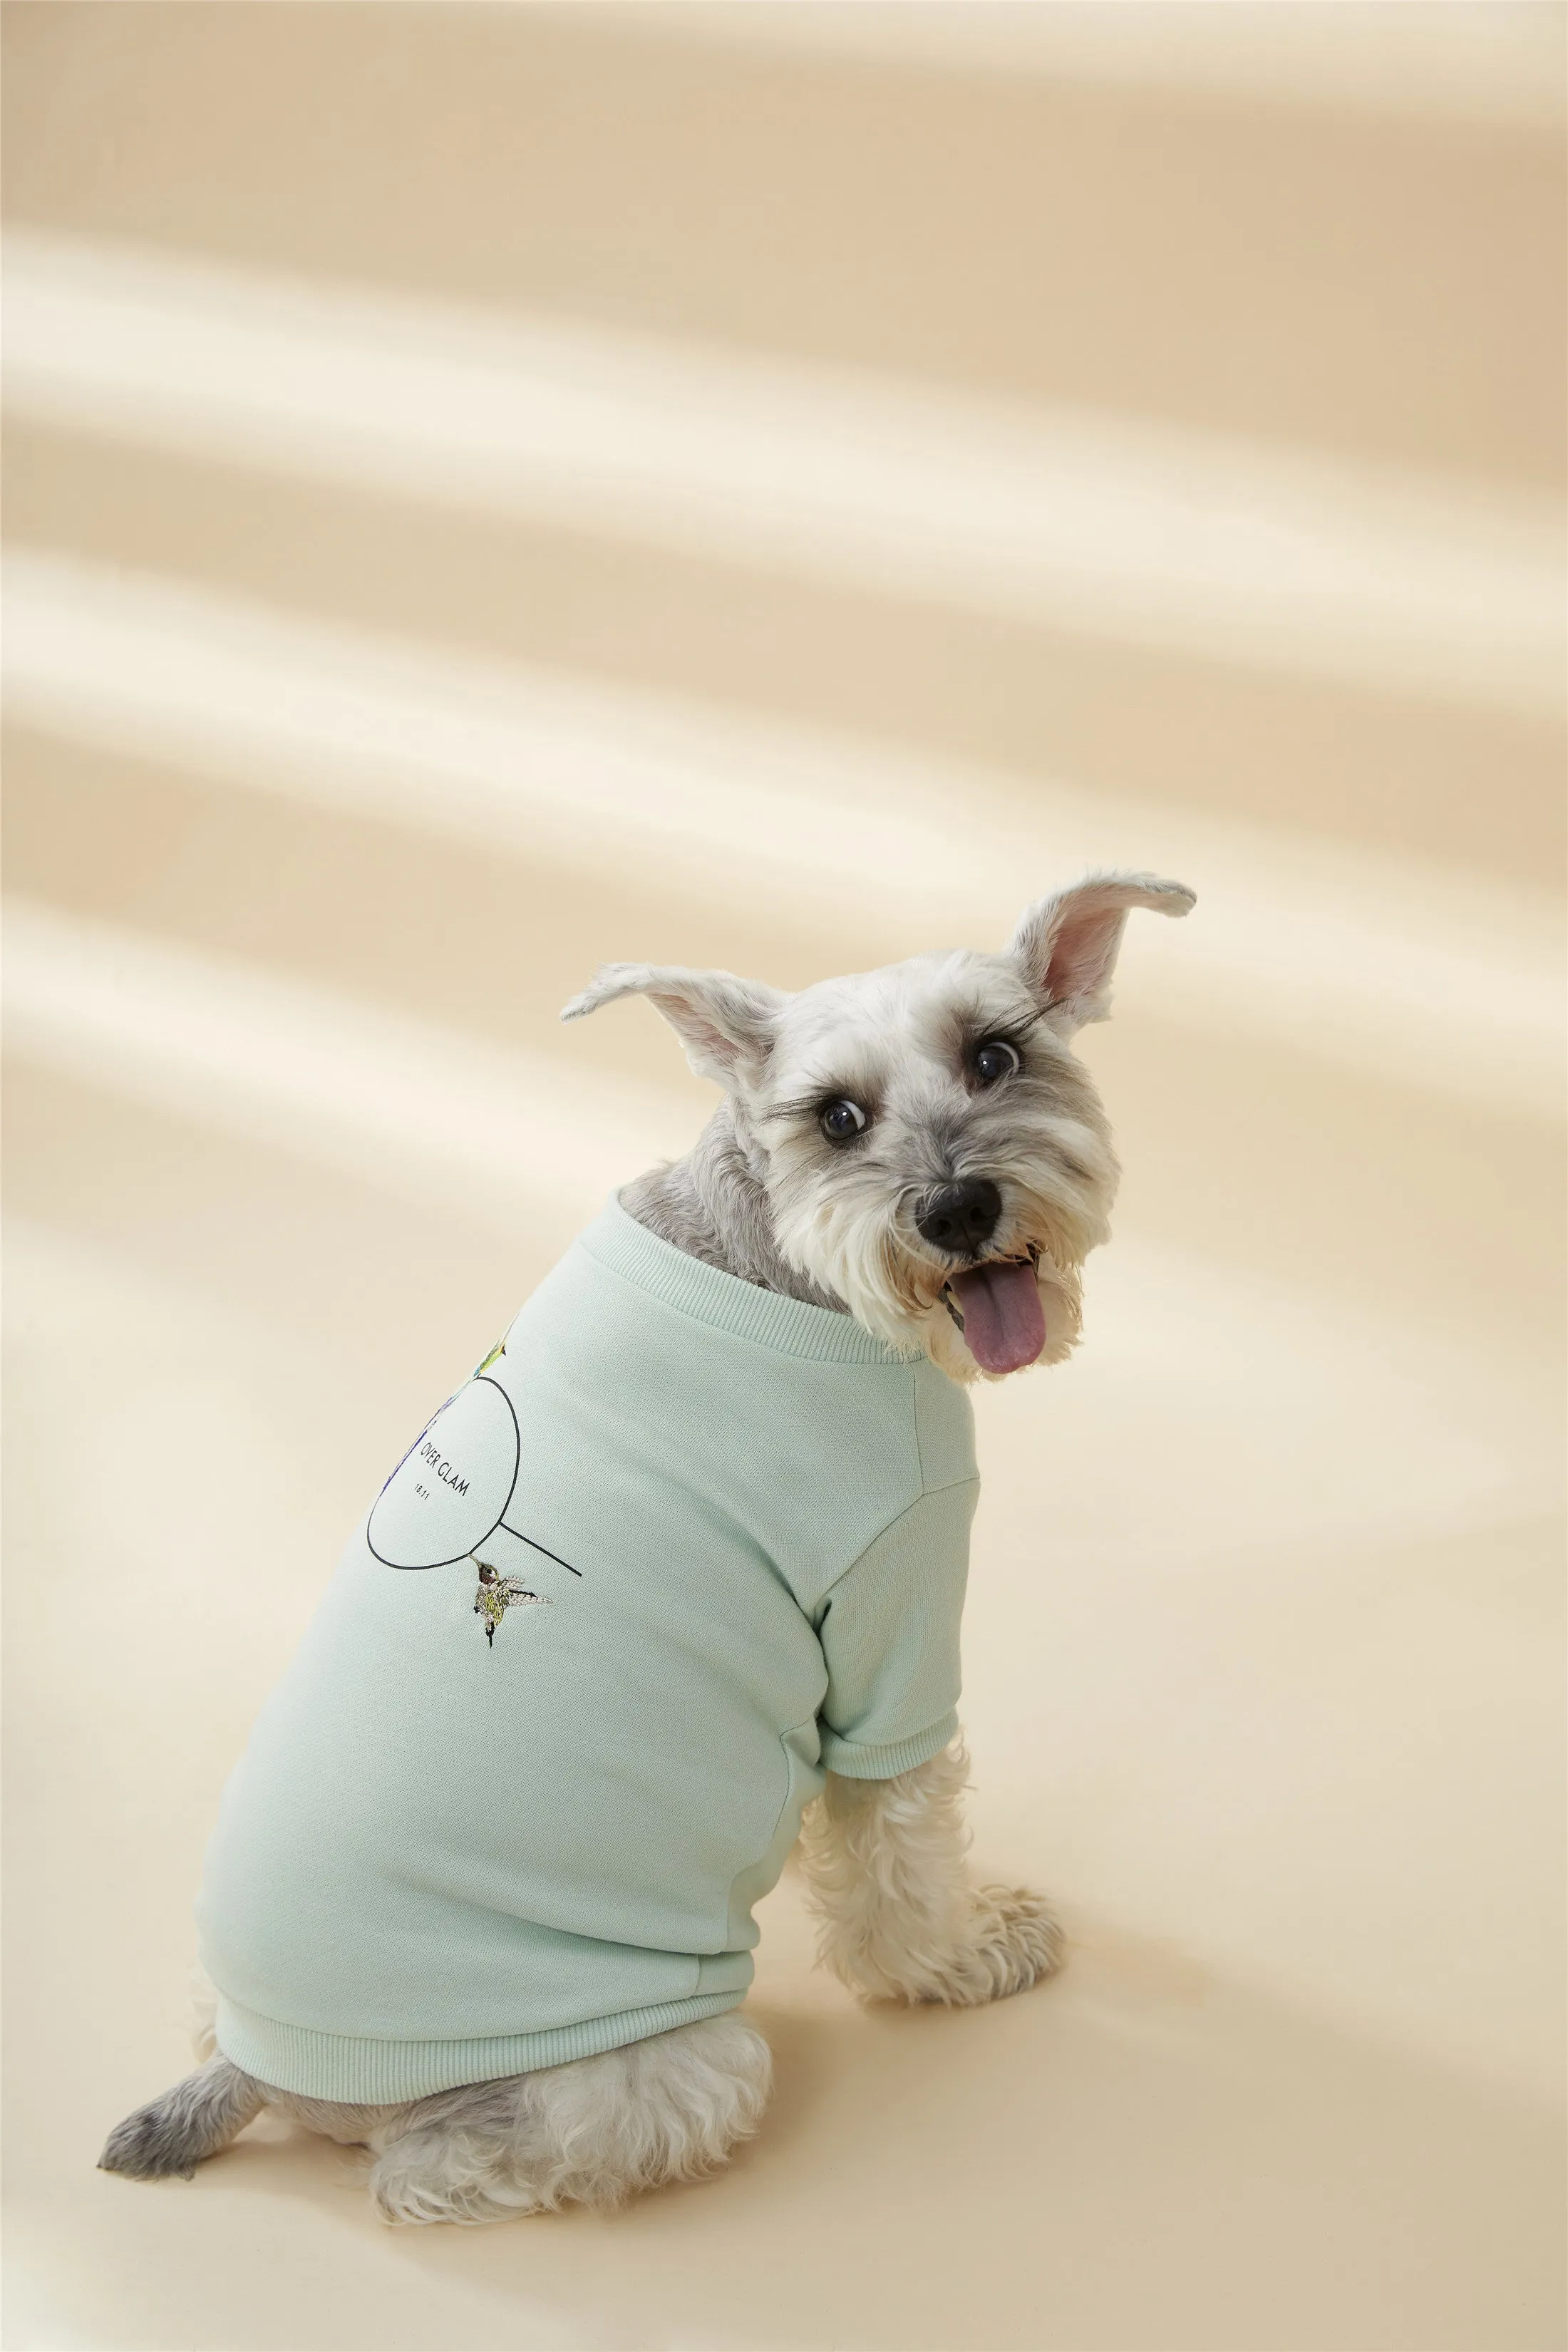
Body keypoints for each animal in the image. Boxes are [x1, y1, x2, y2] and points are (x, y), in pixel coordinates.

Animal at [103, 870, 1194, 2220]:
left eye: (997, 1054)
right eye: (837, 1117)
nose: (957, 1209)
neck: (776, 1264)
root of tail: (264, 2070)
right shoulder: (893, 1628)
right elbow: (904, 1863)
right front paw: (973, 1951)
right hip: (681, 2062)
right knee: (426, 2170)